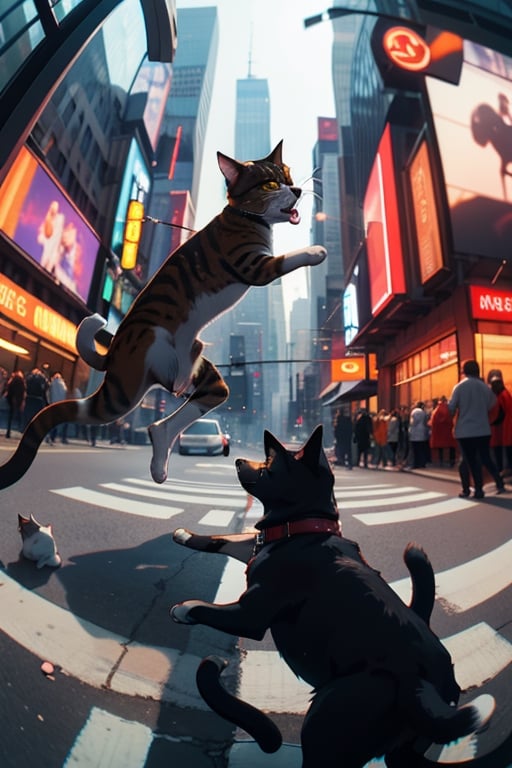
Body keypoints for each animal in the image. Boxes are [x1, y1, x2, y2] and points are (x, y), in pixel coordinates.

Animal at [0, 143, 326, 488]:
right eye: (269, 184)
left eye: (288, 176)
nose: (297, 189)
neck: (246, 216)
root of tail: (113, 349)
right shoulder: (251, 265)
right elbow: (285, 259)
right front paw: (315, 251)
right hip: (123, 389)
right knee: (77, 411)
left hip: (197, 374)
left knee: (182, 410)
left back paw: (158, 457)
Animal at [173, 426, 504, 768]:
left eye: (268, 465)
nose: (237, 458)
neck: (305, 527)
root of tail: (427, 686)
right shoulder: (254, 547)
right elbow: (224, 538)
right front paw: (185, 535)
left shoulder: (252, 615)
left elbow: (210, 609)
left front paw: (184, 608)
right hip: (398, 745)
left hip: (327, 719)